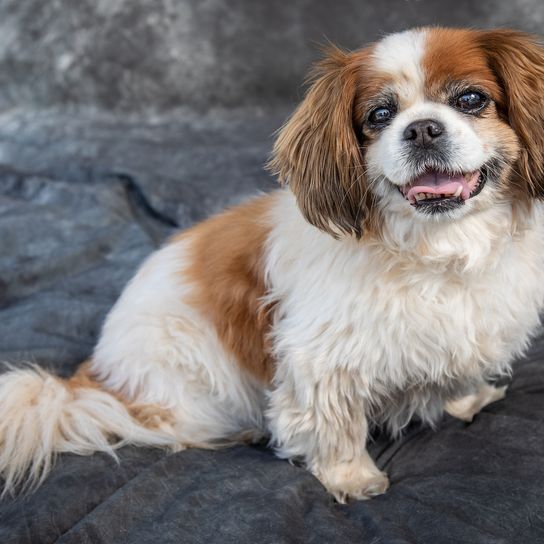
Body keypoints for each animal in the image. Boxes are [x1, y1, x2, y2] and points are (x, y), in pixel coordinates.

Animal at [1, 25, 544, 502]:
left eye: (470, 100)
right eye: (379, 115)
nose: (422, 128)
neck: (438, 247)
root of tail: (94, 371)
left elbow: (457, 375)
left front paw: (467, 401)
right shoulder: (320, 360)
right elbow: (334, 425)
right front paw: (352, 479)